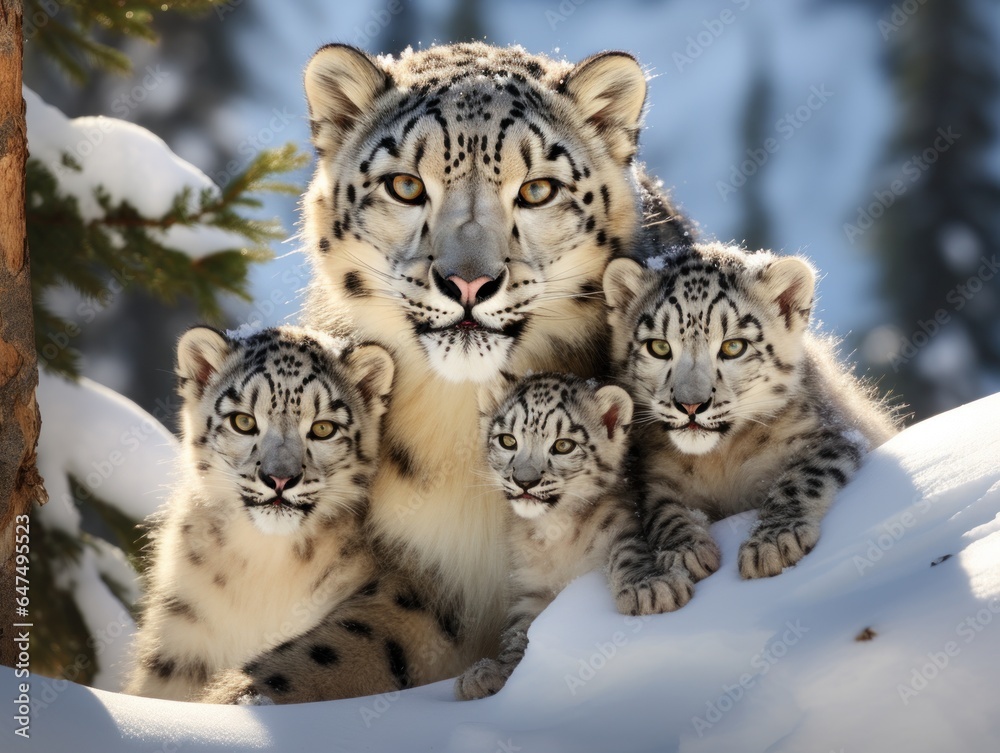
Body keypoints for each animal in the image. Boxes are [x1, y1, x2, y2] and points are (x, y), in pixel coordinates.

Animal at [455, 373, 694, 701]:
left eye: (563, 445)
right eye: (508, 440)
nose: (524, 481)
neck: (554, 535)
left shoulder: (620, 524)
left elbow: (628, 552)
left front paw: (649, 589)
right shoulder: (531, 589)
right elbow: (519, 630)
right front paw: (488, 672)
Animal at [604, 242, 899, 584]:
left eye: (733, 346)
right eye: (659, 347)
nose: (690, 405)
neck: (720, 460)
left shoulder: (833, 435)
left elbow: (800, 479)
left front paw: (773, 544)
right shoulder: (655, 477)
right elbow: (661, 512)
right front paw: (685, 552)